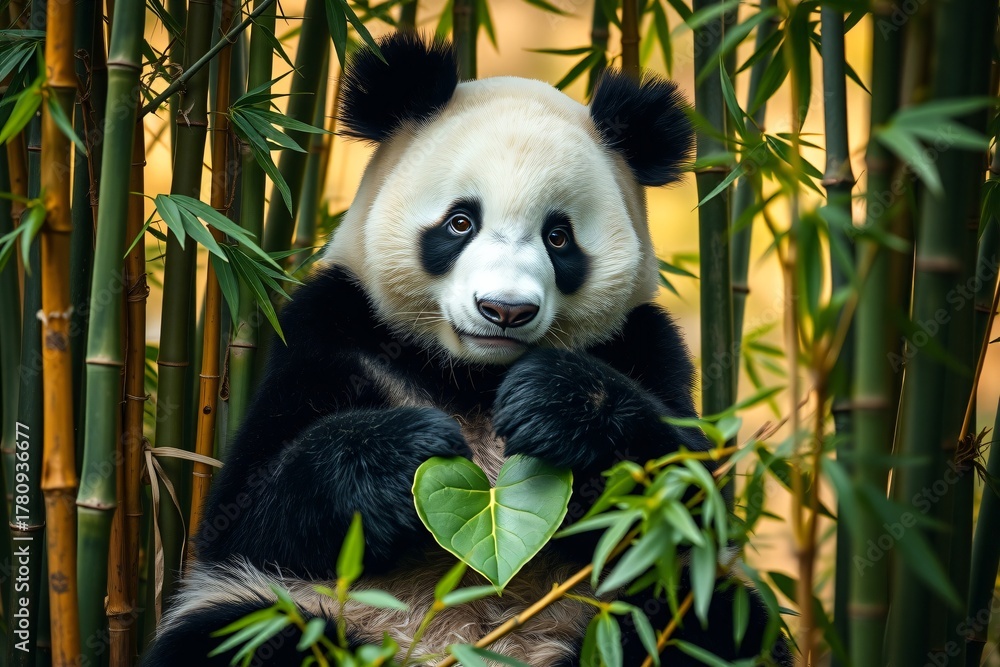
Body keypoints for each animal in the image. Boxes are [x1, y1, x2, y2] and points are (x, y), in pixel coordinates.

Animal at [143, 33, 791, 667]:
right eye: (460, 223)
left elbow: (693, 494)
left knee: (711, 619)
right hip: (314, 610)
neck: (472, 376)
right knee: (235, 631)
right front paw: (405, 452)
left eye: (559, 237)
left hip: (619, 607)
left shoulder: (644, 342)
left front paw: (555, 406)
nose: (505, 309)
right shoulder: (328, 328)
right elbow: (243, 517)